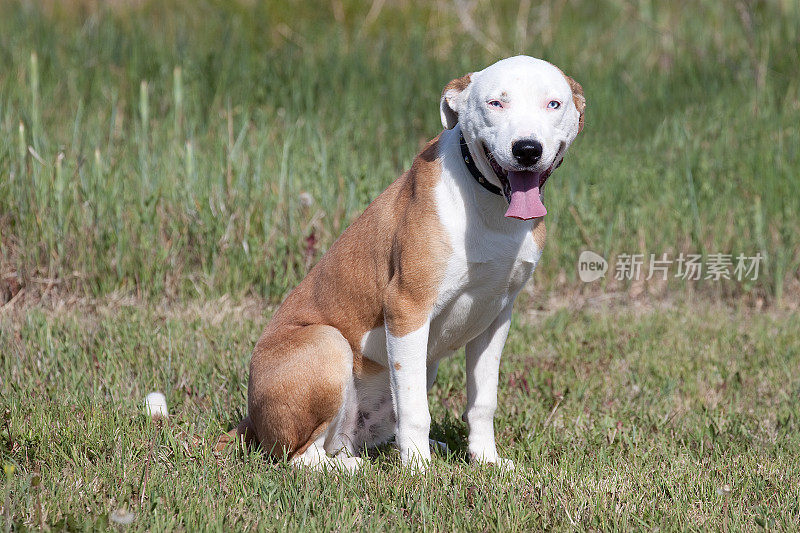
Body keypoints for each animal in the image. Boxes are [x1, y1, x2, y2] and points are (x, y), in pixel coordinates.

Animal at [228, 55, 584, 470]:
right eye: (496, 103)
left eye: (553, 104)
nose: (527, 149)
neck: (489, 206)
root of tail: (251, 420)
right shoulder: (407, 308)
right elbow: (415, 409)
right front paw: (418, 470)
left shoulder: (495, 318)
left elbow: (483, 401)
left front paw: (485, 460)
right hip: (326, 343)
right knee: (298, 455)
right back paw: (353, 468)